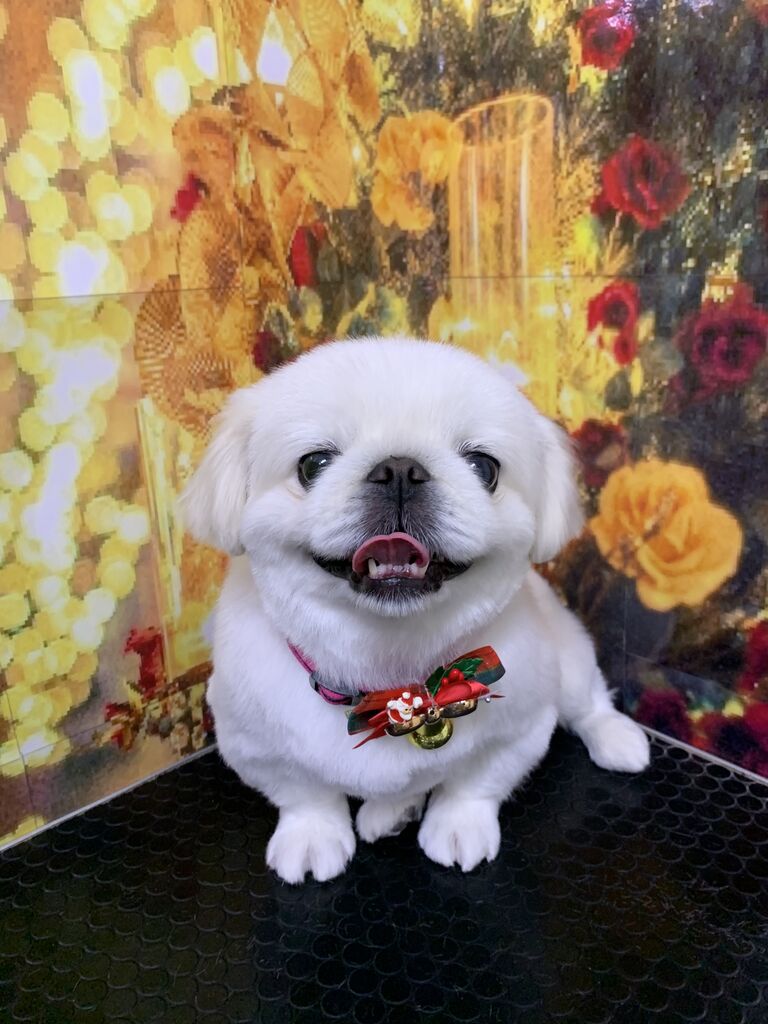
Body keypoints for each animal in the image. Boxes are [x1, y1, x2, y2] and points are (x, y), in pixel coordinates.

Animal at [182, 337, 649, 883]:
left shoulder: (522, 730)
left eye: (484, 468)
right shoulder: (250, 741)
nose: (400, 469)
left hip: (567, 658)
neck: (387, 667)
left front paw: (458, 825)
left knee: (589, 701)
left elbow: (474, 782)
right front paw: (312, 835)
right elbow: (303, 793)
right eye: (313, 464)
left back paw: (617, 739)